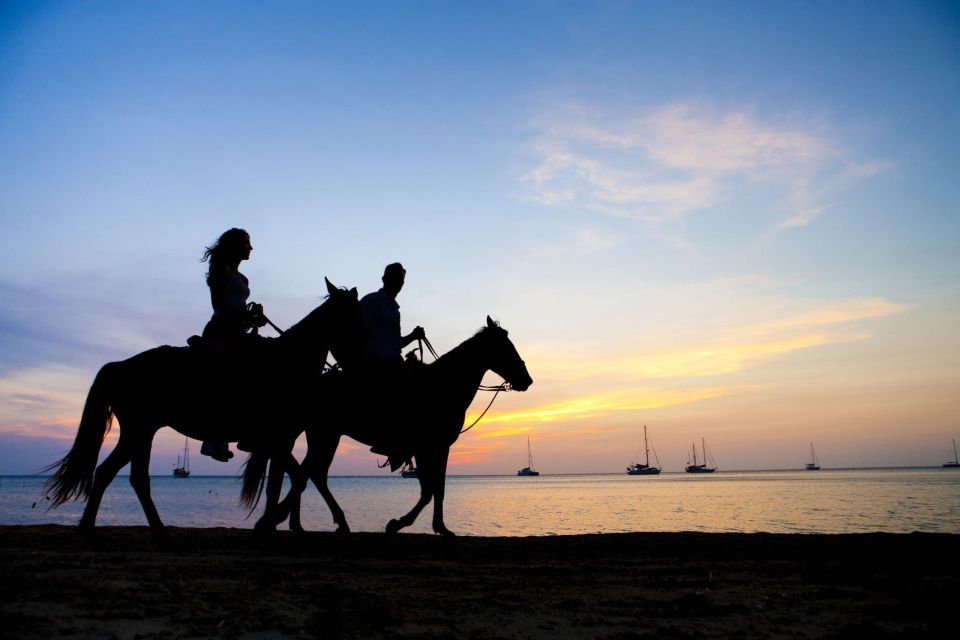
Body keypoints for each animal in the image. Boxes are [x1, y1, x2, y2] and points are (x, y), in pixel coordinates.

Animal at [44, 280, 364, 540]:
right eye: (356, 317)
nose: (359, 361)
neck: (286, 363)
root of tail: (121, 366)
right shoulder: (275, 439)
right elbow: (297, 478)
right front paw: (270, 522)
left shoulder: (280, 440)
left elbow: (288, 480)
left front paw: (273, 523)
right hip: (136, 431)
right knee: (107, 472)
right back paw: (90, 528)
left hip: (144, 432)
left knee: (136, 479)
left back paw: (158, 530)